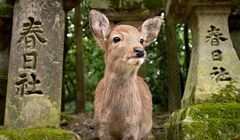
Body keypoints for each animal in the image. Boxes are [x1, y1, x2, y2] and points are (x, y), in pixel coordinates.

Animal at [89, 9, 163, 139]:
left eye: (141, 40)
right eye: (116, 38)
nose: (140, 50)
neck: (117, 117)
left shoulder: (134, 128)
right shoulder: (102, 128)